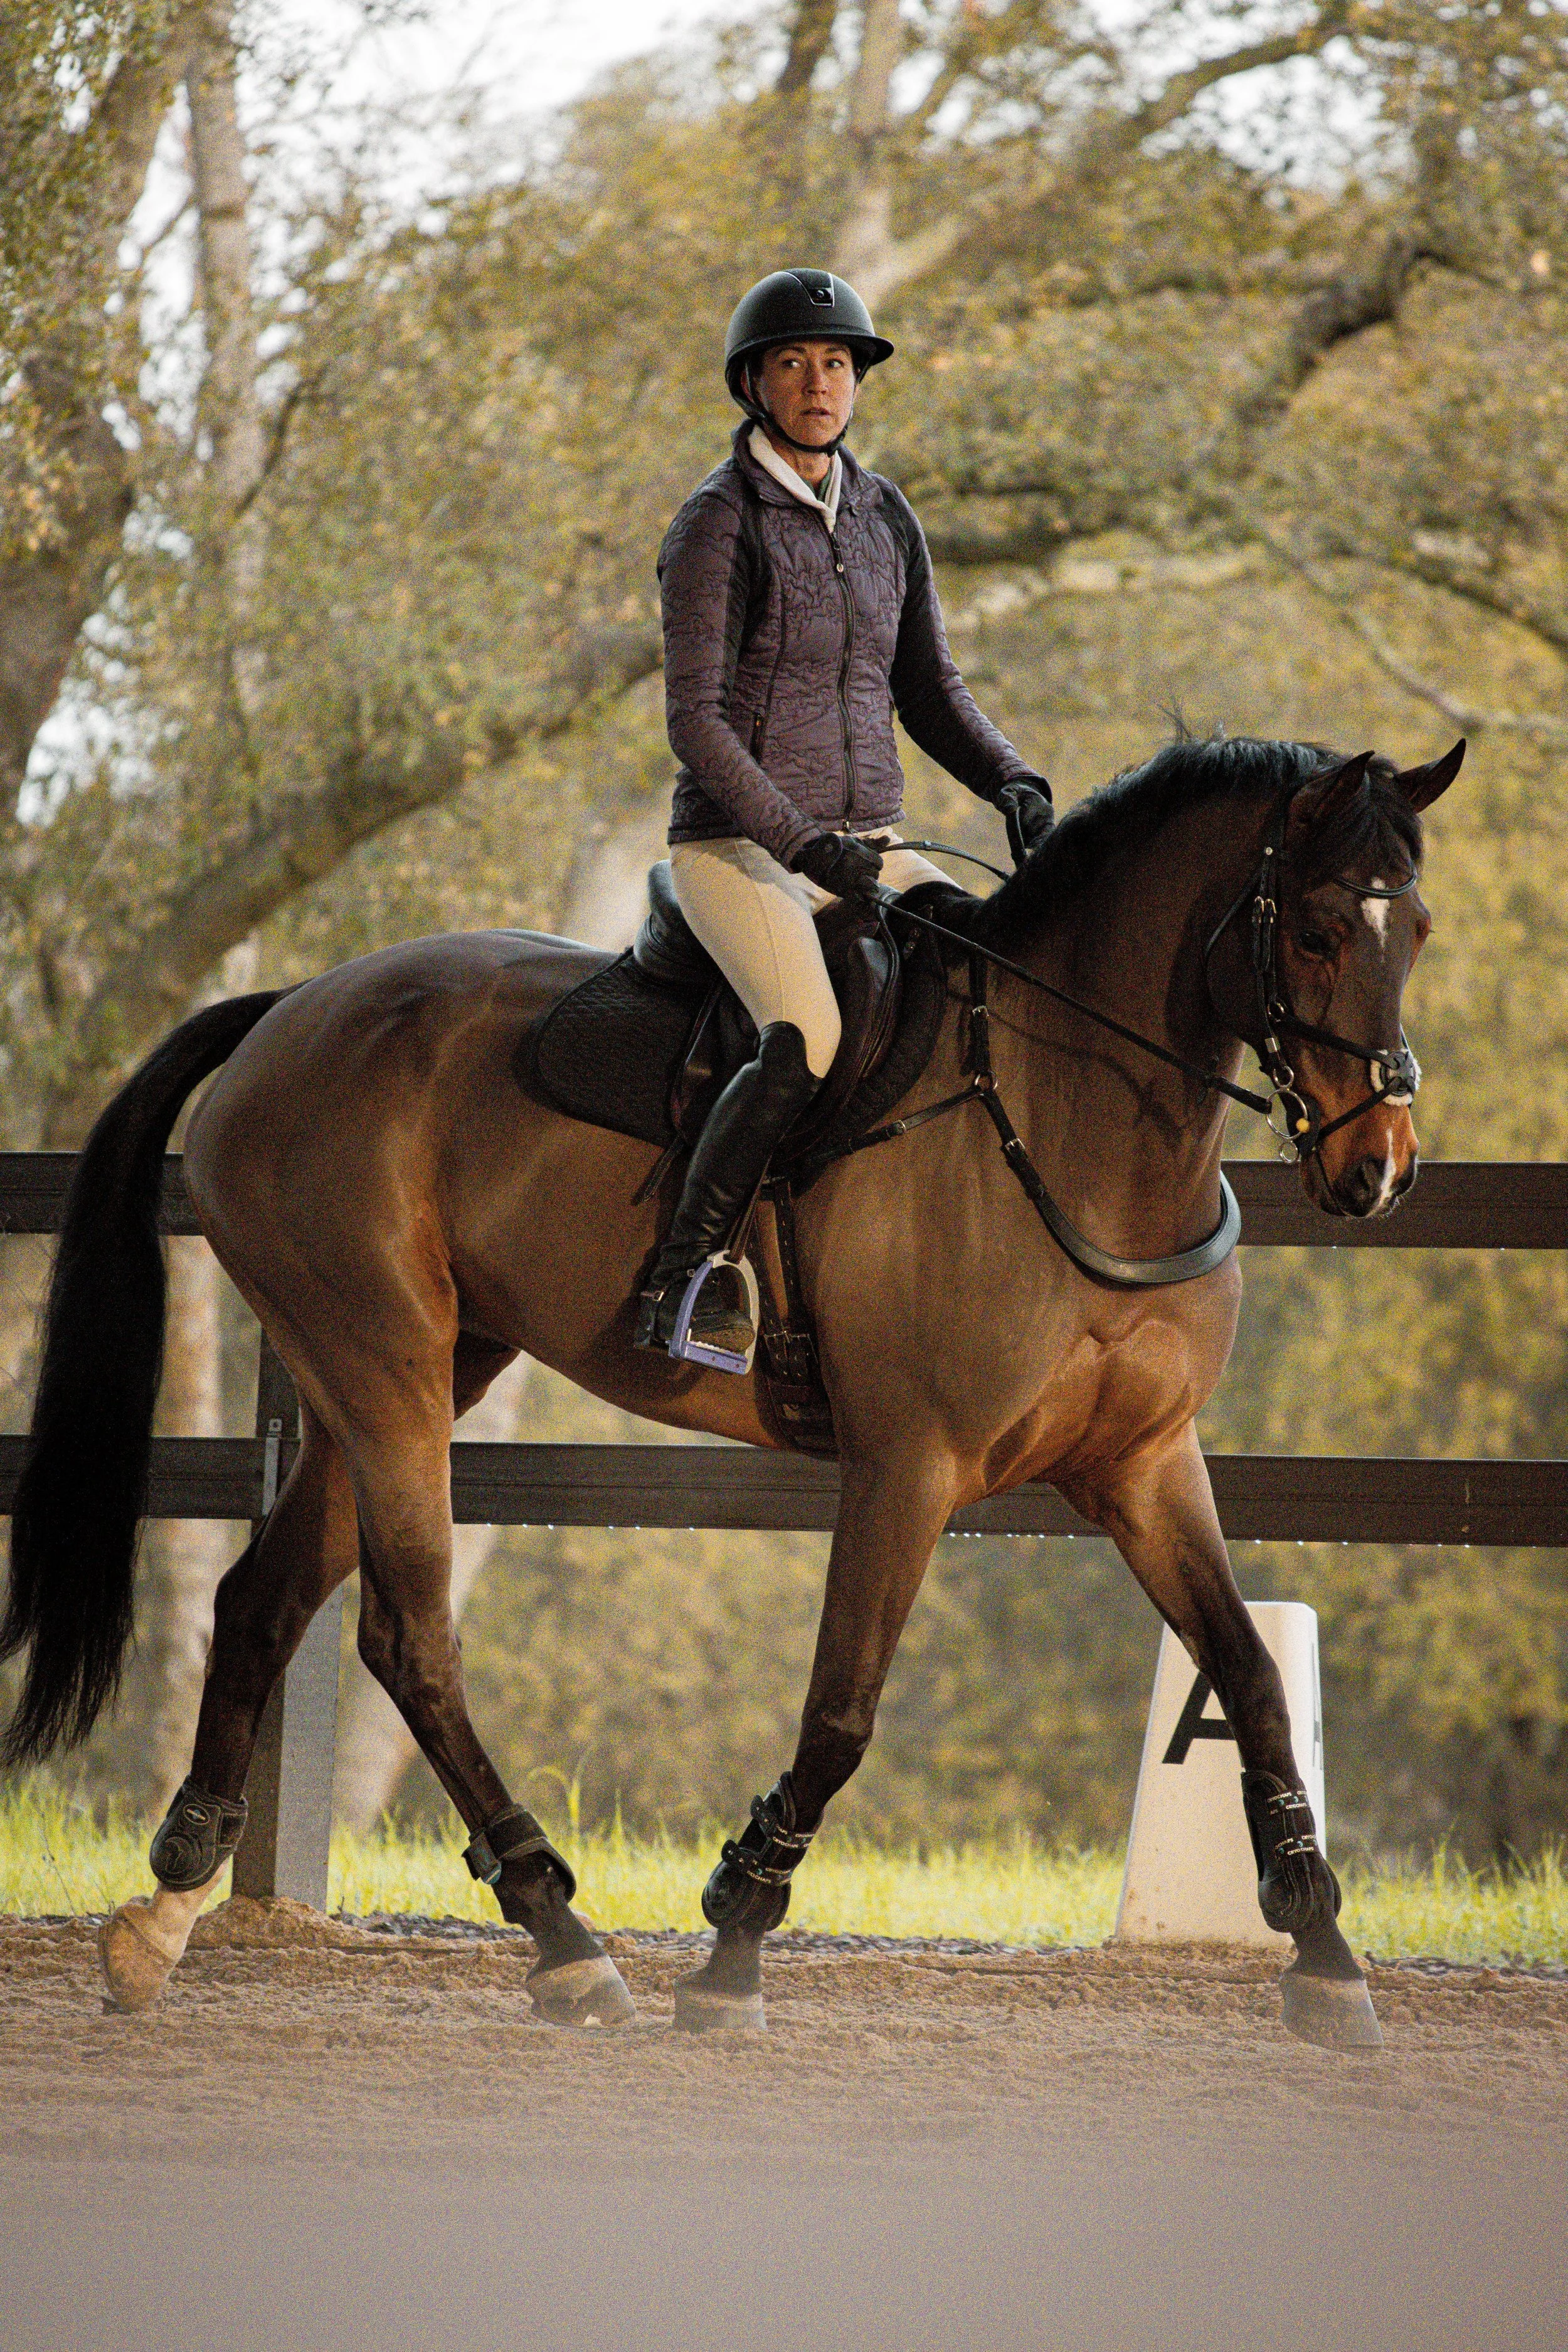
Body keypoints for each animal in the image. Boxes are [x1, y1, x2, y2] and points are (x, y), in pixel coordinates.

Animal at [1, 729, 1460, 2042]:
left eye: (1418, 929)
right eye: (1318, 929)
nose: (1377, 1169)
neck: (1065, 1120)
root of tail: (291, 1009)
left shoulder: (1144, 1464)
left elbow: (1248, 1676)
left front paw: (1327, 1957)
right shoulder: (908, 1468)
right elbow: (840, 1711)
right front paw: (734, 1943)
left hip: (413, 1372)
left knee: (260, 1604)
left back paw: (164, 1919)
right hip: (382, 1369)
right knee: (406, 1641)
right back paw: (563, 1937)